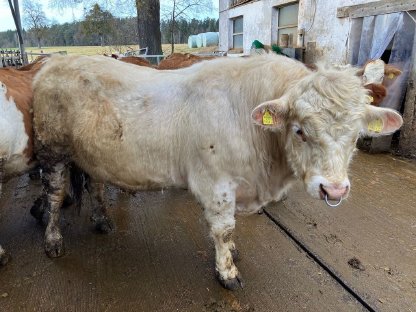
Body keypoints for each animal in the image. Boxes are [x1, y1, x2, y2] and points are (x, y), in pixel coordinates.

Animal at [32, 54, 404, 290]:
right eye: (299, 130)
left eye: (357, 135)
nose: (335, 190)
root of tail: (51, 64)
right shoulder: (216, 183)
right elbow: (223, 230)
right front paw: (227, 271)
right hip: (53, 150)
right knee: (55, 195)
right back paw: (52, 241)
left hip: (92, 153)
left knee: (94, 184)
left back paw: (102, 220)